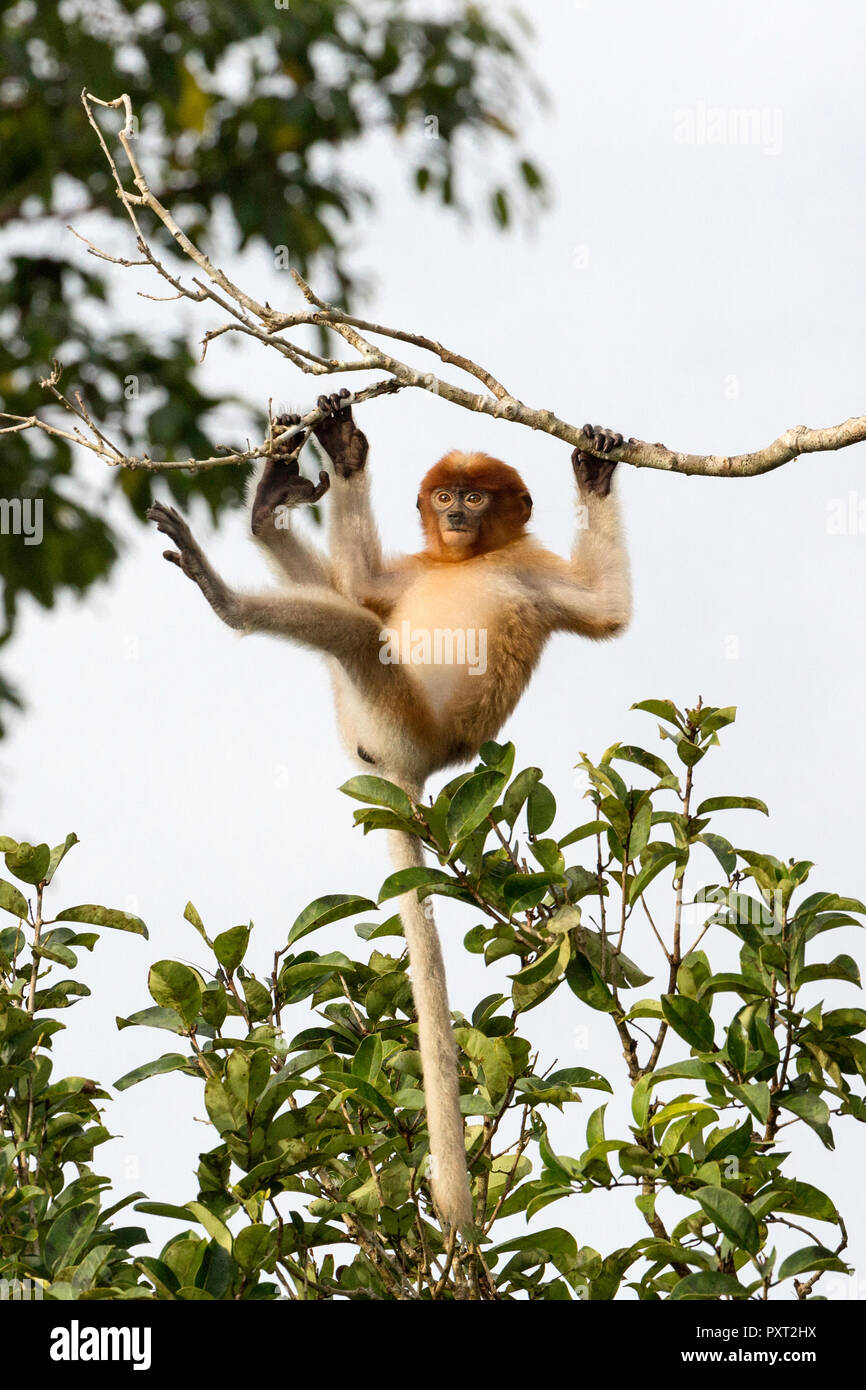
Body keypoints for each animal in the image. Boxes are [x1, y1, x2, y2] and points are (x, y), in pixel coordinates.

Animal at [145, 389, 625, 1228]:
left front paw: (595, 470)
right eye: (447, 496)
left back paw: (227, 595)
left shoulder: (532, 574)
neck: (468, 559)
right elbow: (366, 581)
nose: (456, 512)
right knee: (351, 607)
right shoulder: (419, 568)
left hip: (394, 713)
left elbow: (606, 609)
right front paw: (343, 447)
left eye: (476, 497)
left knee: (359, 632)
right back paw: (268, 512)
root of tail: (408, 773)